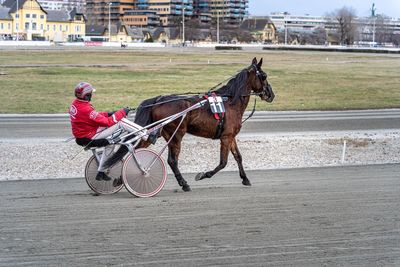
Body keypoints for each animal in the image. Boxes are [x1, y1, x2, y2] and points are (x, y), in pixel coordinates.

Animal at [106, 58, 274, 193]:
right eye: (264, 76)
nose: (271, 94)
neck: (230, 102)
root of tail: (159, 99)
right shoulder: (225, 137)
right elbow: (223, 163)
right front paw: (203, 175)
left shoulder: (231, 136)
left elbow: (238, 157)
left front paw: (245, 179)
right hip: (176, 134)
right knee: (172, 161)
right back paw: (184, 184)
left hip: (155, 133)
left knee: (136, 150)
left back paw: (120, 179)